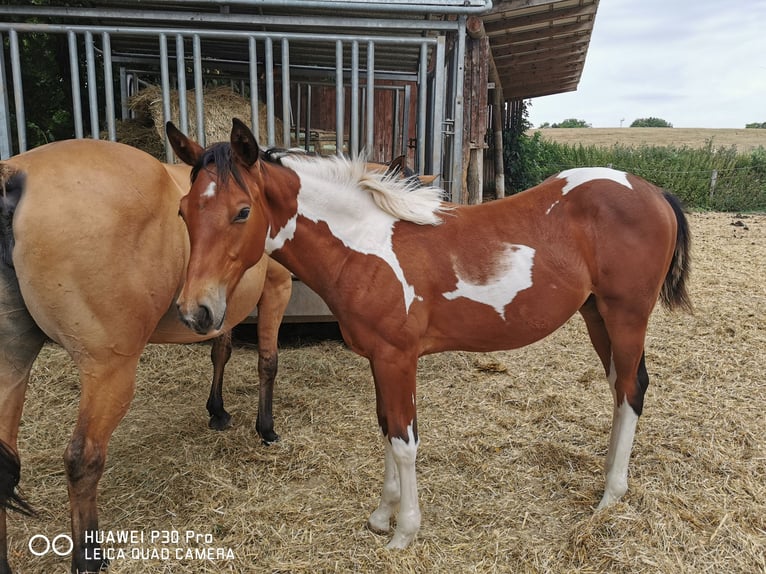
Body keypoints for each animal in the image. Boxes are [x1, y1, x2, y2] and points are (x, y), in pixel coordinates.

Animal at [0, 138, 292, 574]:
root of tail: (16, 178)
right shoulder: (276, 287)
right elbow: (267, 362)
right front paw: (266, 429)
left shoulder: (218, 310)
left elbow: (220, 351)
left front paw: (218, 411)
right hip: (109, 371)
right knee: (83, 458)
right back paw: (90, 557)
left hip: (11, 366)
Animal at [166, 119, 692, 550]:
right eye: (183, 211)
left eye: (241, 211)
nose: (196, 311)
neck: (365, 245)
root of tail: (654, 192)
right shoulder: (380, 360)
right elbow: (385, 429)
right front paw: (382, 515)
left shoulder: (398, 358)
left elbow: (404, 440)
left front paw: (404, 532)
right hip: (596, 315)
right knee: (620, 389)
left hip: (626, 316)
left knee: (632, 390)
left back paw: (611, 496)